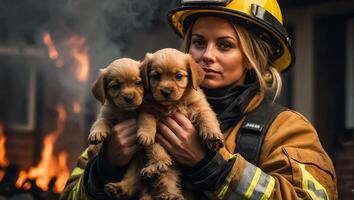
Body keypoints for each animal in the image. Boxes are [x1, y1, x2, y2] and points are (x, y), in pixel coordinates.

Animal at [88, 57, 147, 198]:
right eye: (116, 86)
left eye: (138, 83)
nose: (129, 98)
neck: (125, 112)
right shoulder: (106, 113)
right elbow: (100, 122)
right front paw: (97, 134)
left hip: (136, 163)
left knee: (131, 182)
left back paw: (119, 189)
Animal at [136, 47, 224, 199]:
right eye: (156, 76)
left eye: (178, 76)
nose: (166, 91)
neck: (174, 104)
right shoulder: (148, 108)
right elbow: (147, 121)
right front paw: (146, 135)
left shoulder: (200, 106)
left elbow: (207, 118)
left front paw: (212, 135)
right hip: (166, 166)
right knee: (164, 172)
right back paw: (158, 172)